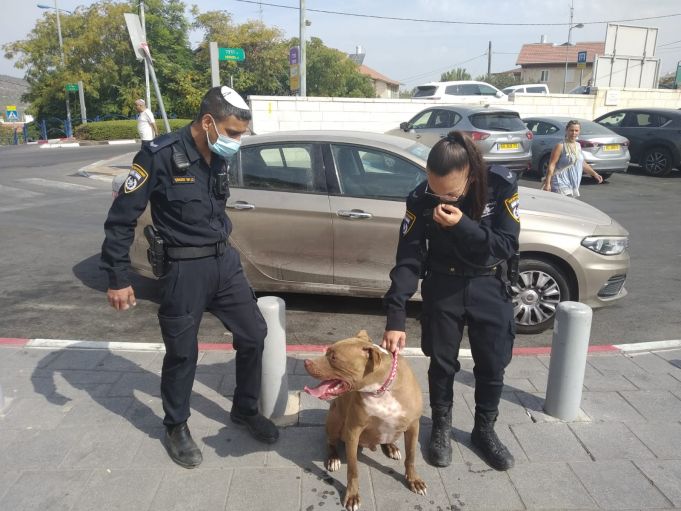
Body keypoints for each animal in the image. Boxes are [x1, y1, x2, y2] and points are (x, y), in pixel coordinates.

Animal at [302, 330, 424, 510]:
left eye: (334, 357)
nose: (306, 361)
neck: (381, 390)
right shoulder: (353, 431)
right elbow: (353, 470)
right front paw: (352, 496)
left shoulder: (414, 426)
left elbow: (411, 456)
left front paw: (414, 480)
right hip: (335, 420)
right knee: (331, 442)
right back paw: (333, 458)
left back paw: (391, 447)